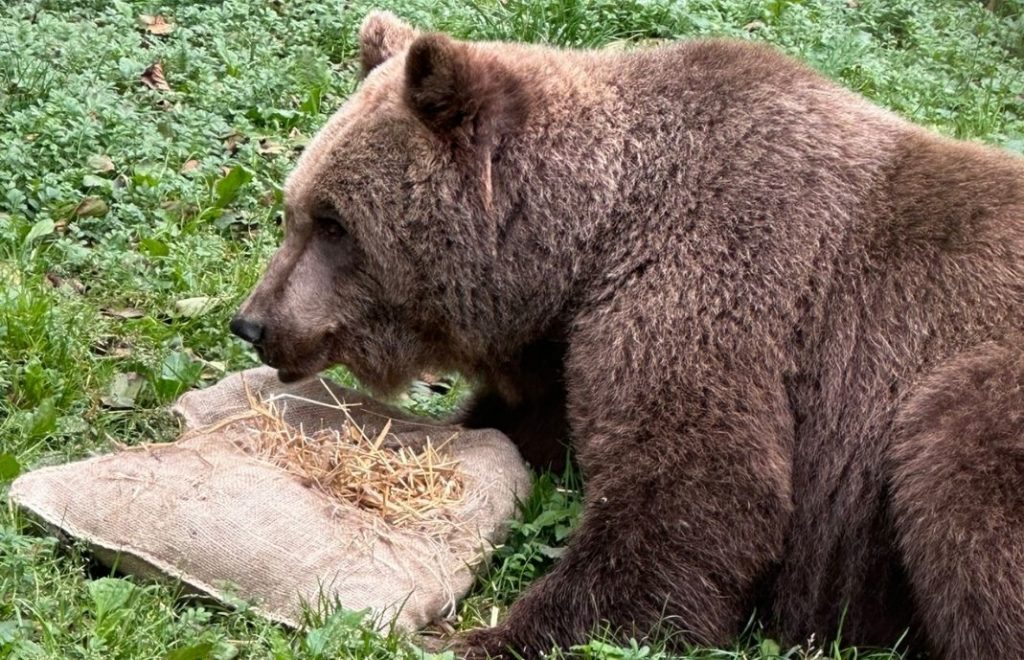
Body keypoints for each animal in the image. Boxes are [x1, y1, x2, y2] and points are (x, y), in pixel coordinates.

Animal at [232, 10, 1024, 658]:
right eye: (293, 209)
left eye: (333, 223)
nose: (254, 322)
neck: (590, 243)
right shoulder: (560, 350)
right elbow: (529, 424)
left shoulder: (712, 282)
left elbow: (698, 492)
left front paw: (489, 635)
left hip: (971, 398)